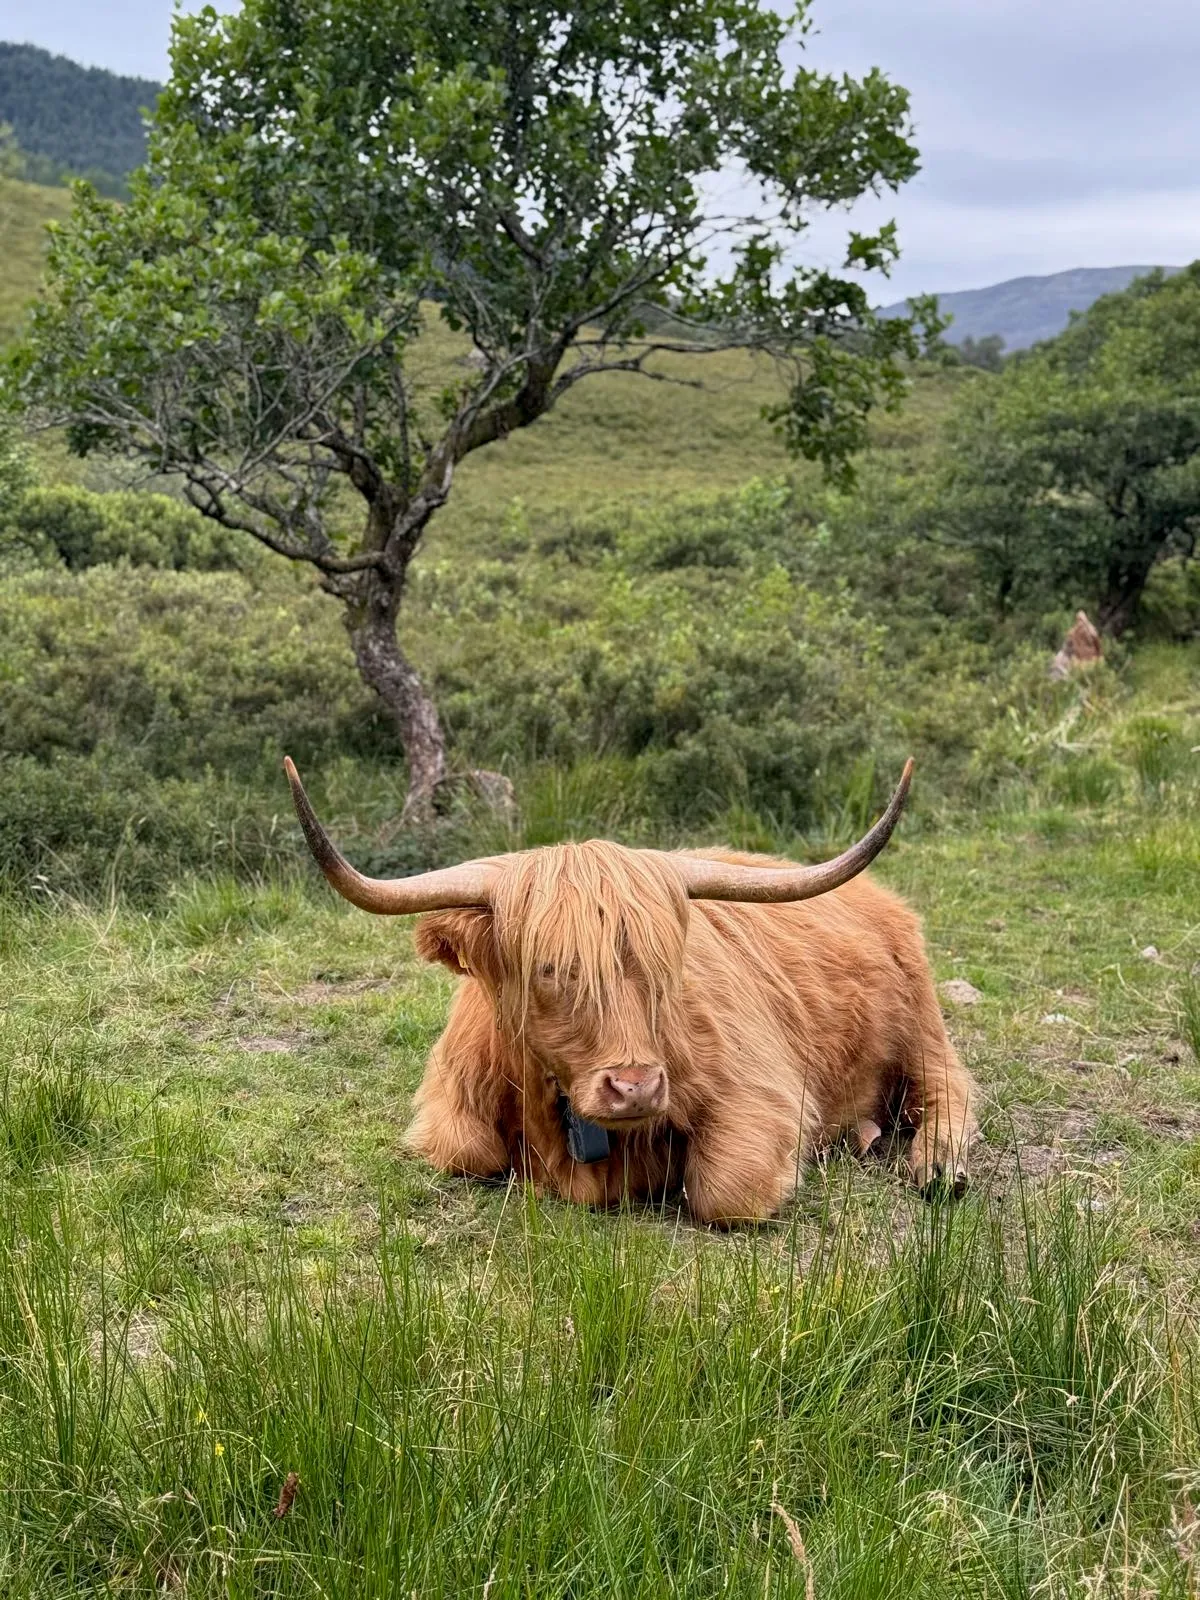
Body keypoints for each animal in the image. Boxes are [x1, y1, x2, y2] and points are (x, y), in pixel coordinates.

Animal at [284, 758, 977, 1224]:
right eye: (549, 968)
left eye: (662, 965)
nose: (636, 1086)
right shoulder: (448, 1111)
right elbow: (464, 1150)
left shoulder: (762, 1095)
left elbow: (727, 1190)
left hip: (922, 1028)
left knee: (950, 1092)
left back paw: (937, 1168)